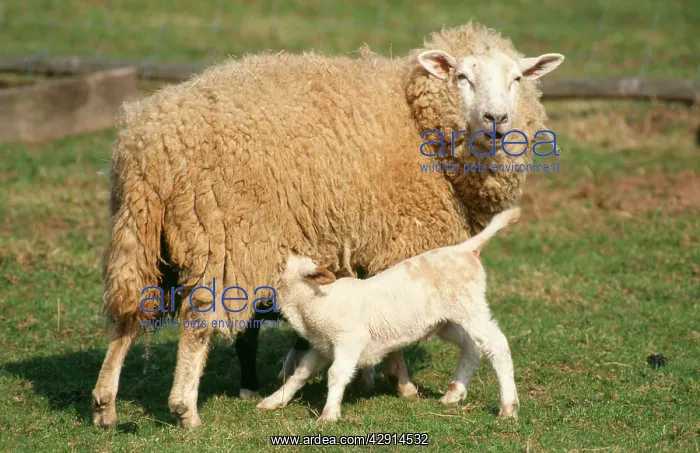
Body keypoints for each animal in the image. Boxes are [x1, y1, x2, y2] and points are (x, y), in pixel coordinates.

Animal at [257, 208, 522, 422]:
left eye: (283, 259)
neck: (314, 303)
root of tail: (464, 250)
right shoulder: (322, 346)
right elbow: (301, 372)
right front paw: (274, 400)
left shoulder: (350, 339)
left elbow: (336, 374)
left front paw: (329, 414)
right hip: (446, 320)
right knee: (472, 346)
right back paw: (453, 394)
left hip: (470, 306)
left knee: (496, 345)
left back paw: (508, 407)